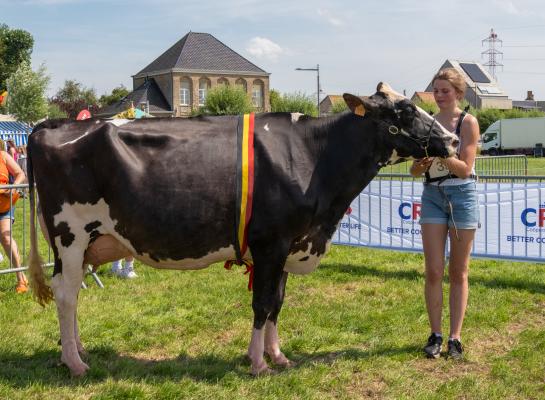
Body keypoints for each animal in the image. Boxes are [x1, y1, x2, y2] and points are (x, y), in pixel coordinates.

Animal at [27, 83, 456, 376]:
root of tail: (50, 126)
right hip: (70, 235)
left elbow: (278, 303)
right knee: (65, 293)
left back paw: (78, 351)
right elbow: (262, 304)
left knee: (73, 293)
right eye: (405, 110)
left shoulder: (288, 244)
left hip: (88, 243)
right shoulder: (271, 243)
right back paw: (74, 362)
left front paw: (277, 355)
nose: (452, 139)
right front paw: (256, 362)